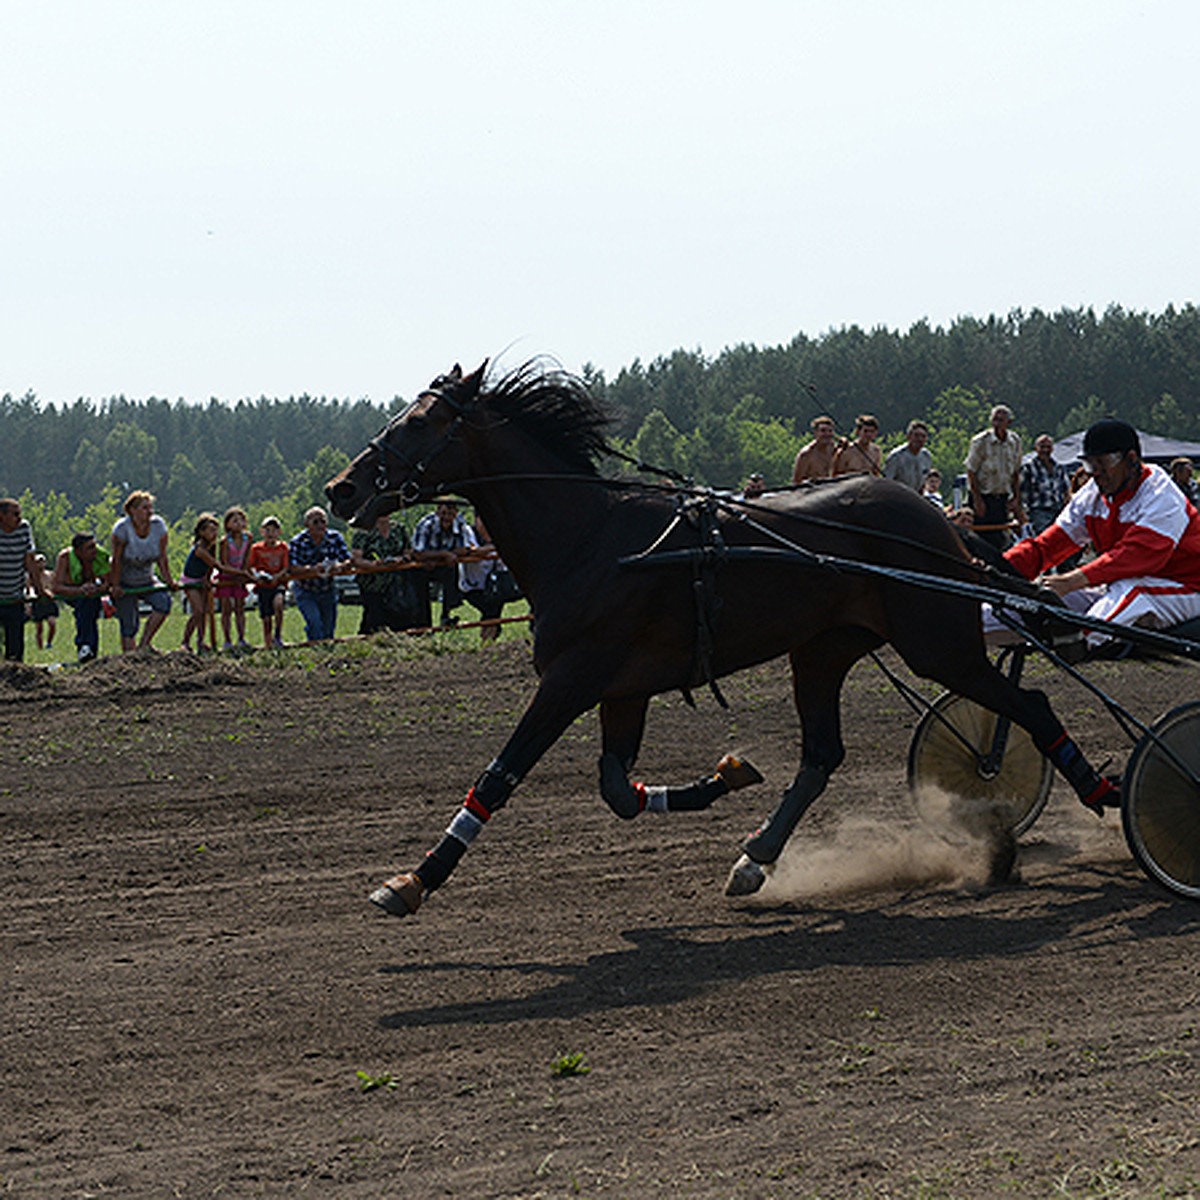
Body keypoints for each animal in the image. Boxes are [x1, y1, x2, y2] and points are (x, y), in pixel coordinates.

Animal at [321, 360, 1113, 912]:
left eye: (421, 422)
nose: (341, 489)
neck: (592, 541)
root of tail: (937, 521)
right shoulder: (622, 688)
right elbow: (618, 789)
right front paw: (724, 776)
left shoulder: (572, 678)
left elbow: (500, 773)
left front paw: (413, 880)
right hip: (822, 649)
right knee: (822, 755)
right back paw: (758, 856)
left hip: (936, 644)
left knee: (1030, 708)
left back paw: (1096, 789)